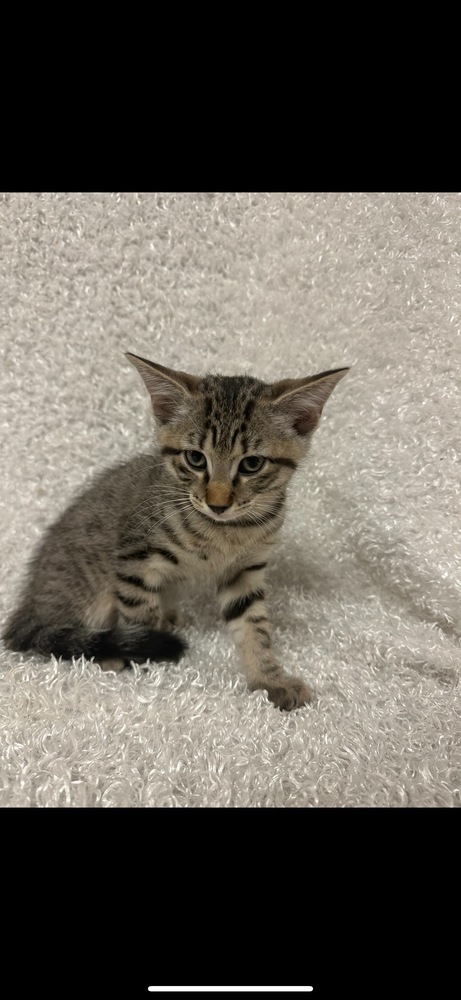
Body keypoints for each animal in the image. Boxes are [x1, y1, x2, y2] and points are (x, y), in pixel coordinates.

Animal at [2, 352, 348, 712]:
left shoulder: (245, 572)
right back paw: (109, 654)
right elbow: (142, 617)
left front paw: (269, 679)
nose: (218, 504)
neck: (224, 531)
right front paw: (153, 665)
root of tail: (27, 604)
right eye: (195, 458)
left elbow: (255, 628)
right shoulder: (135, 561)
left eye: (252, 464)